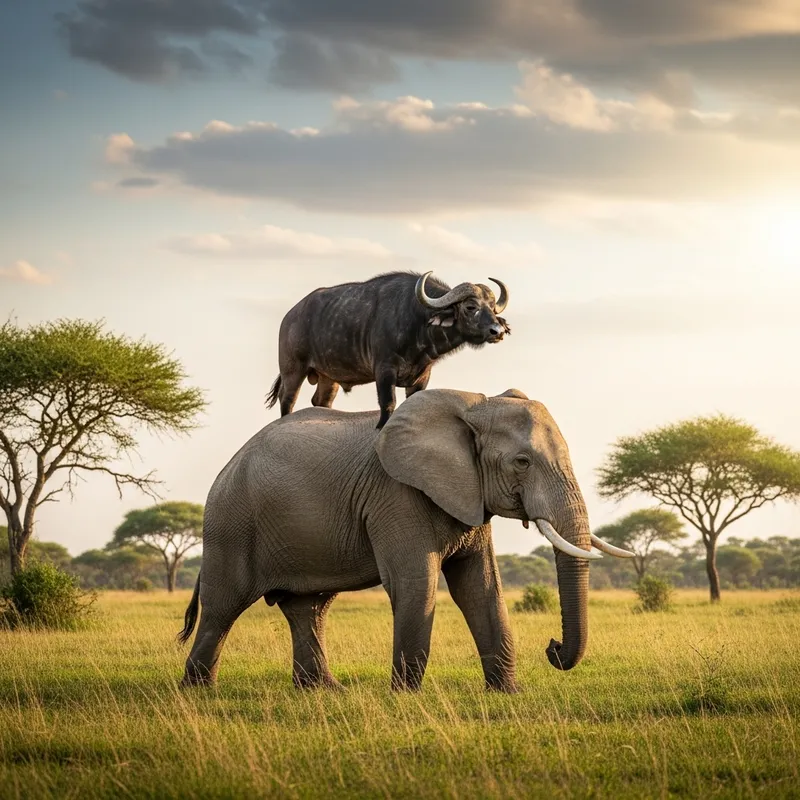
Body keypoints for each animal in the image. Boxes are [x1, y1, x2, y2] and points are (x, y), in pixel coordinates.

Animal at [178, 388, 632, 690]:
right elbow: (416, 583)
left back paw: (325, 692)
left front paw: (506, 694)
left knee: (308, 608)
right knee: (222, 608)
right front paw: (405, 698)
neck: (472, 404)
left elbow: (481, 588)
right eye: (522, 462)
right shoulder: (396, 495)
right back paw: (198, 693)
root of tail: (227, 467)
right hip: (231, 523)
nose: (553, 647)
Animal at [266, 271, 511, 428]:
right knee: (287, 400)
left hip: (328, 378)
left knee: (321, 402)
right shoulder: (384, 370)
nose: (497, 331)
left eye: (492, 307)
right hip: (292, 370)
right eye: (470, 307)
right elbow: (388, 403)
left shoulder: (423, 376)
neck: (416, 322)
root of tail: (290, 316)